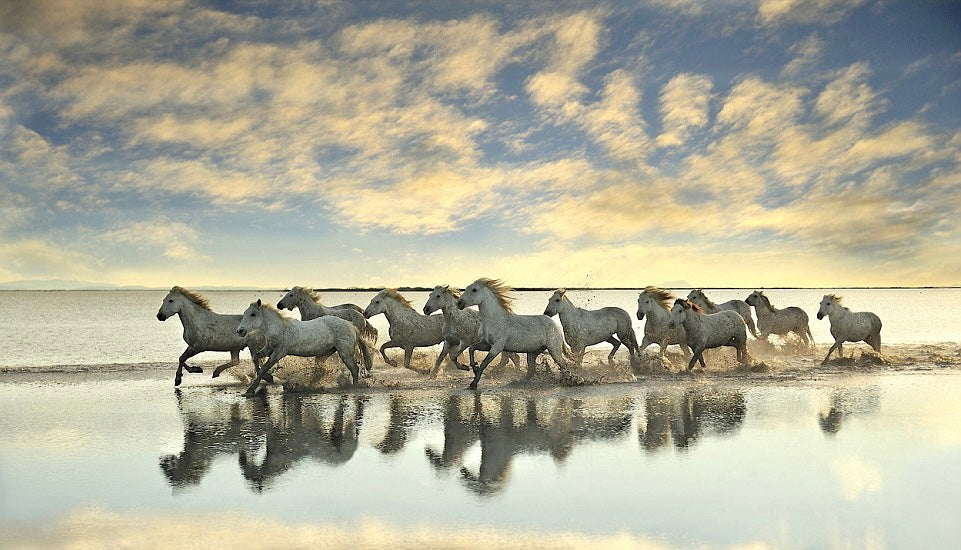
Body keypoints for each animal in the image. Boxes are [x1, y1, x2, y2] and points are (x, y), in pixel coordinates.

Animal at [236, 299, 372, 397]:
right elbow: (255, 358)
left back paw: (354, 387)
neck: (279, 329)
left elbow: (264, 368)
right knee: (322, 370)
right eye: (244, 314)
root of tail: (352, 326)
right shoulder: (268, 350)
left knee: (354, 369)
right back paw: (310, 386)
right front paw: (266, 379)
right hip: (327, 352)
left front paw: (251, 390)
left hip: (345, 353)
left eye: (253, 314)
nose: (240, 331)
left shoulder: (279, 353)